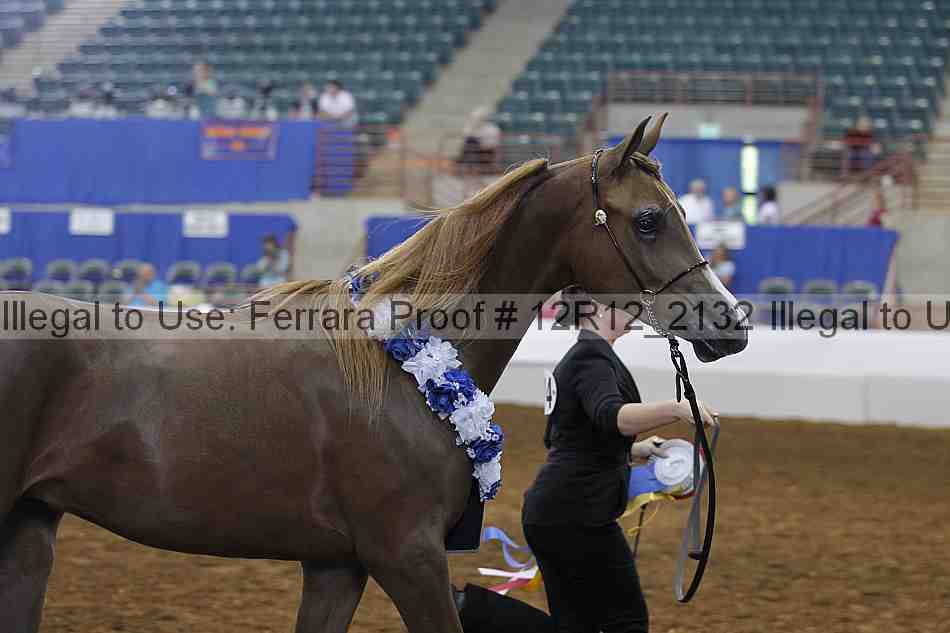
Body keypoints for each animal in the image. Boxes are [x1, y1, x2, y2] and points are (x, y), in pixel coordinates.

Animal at [0, 114, 747, 633]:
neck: (403, 371)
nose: (730, 324)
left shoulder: (340, 566)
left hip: (31, 527)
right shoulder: (406, 556)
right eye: (648, 220)